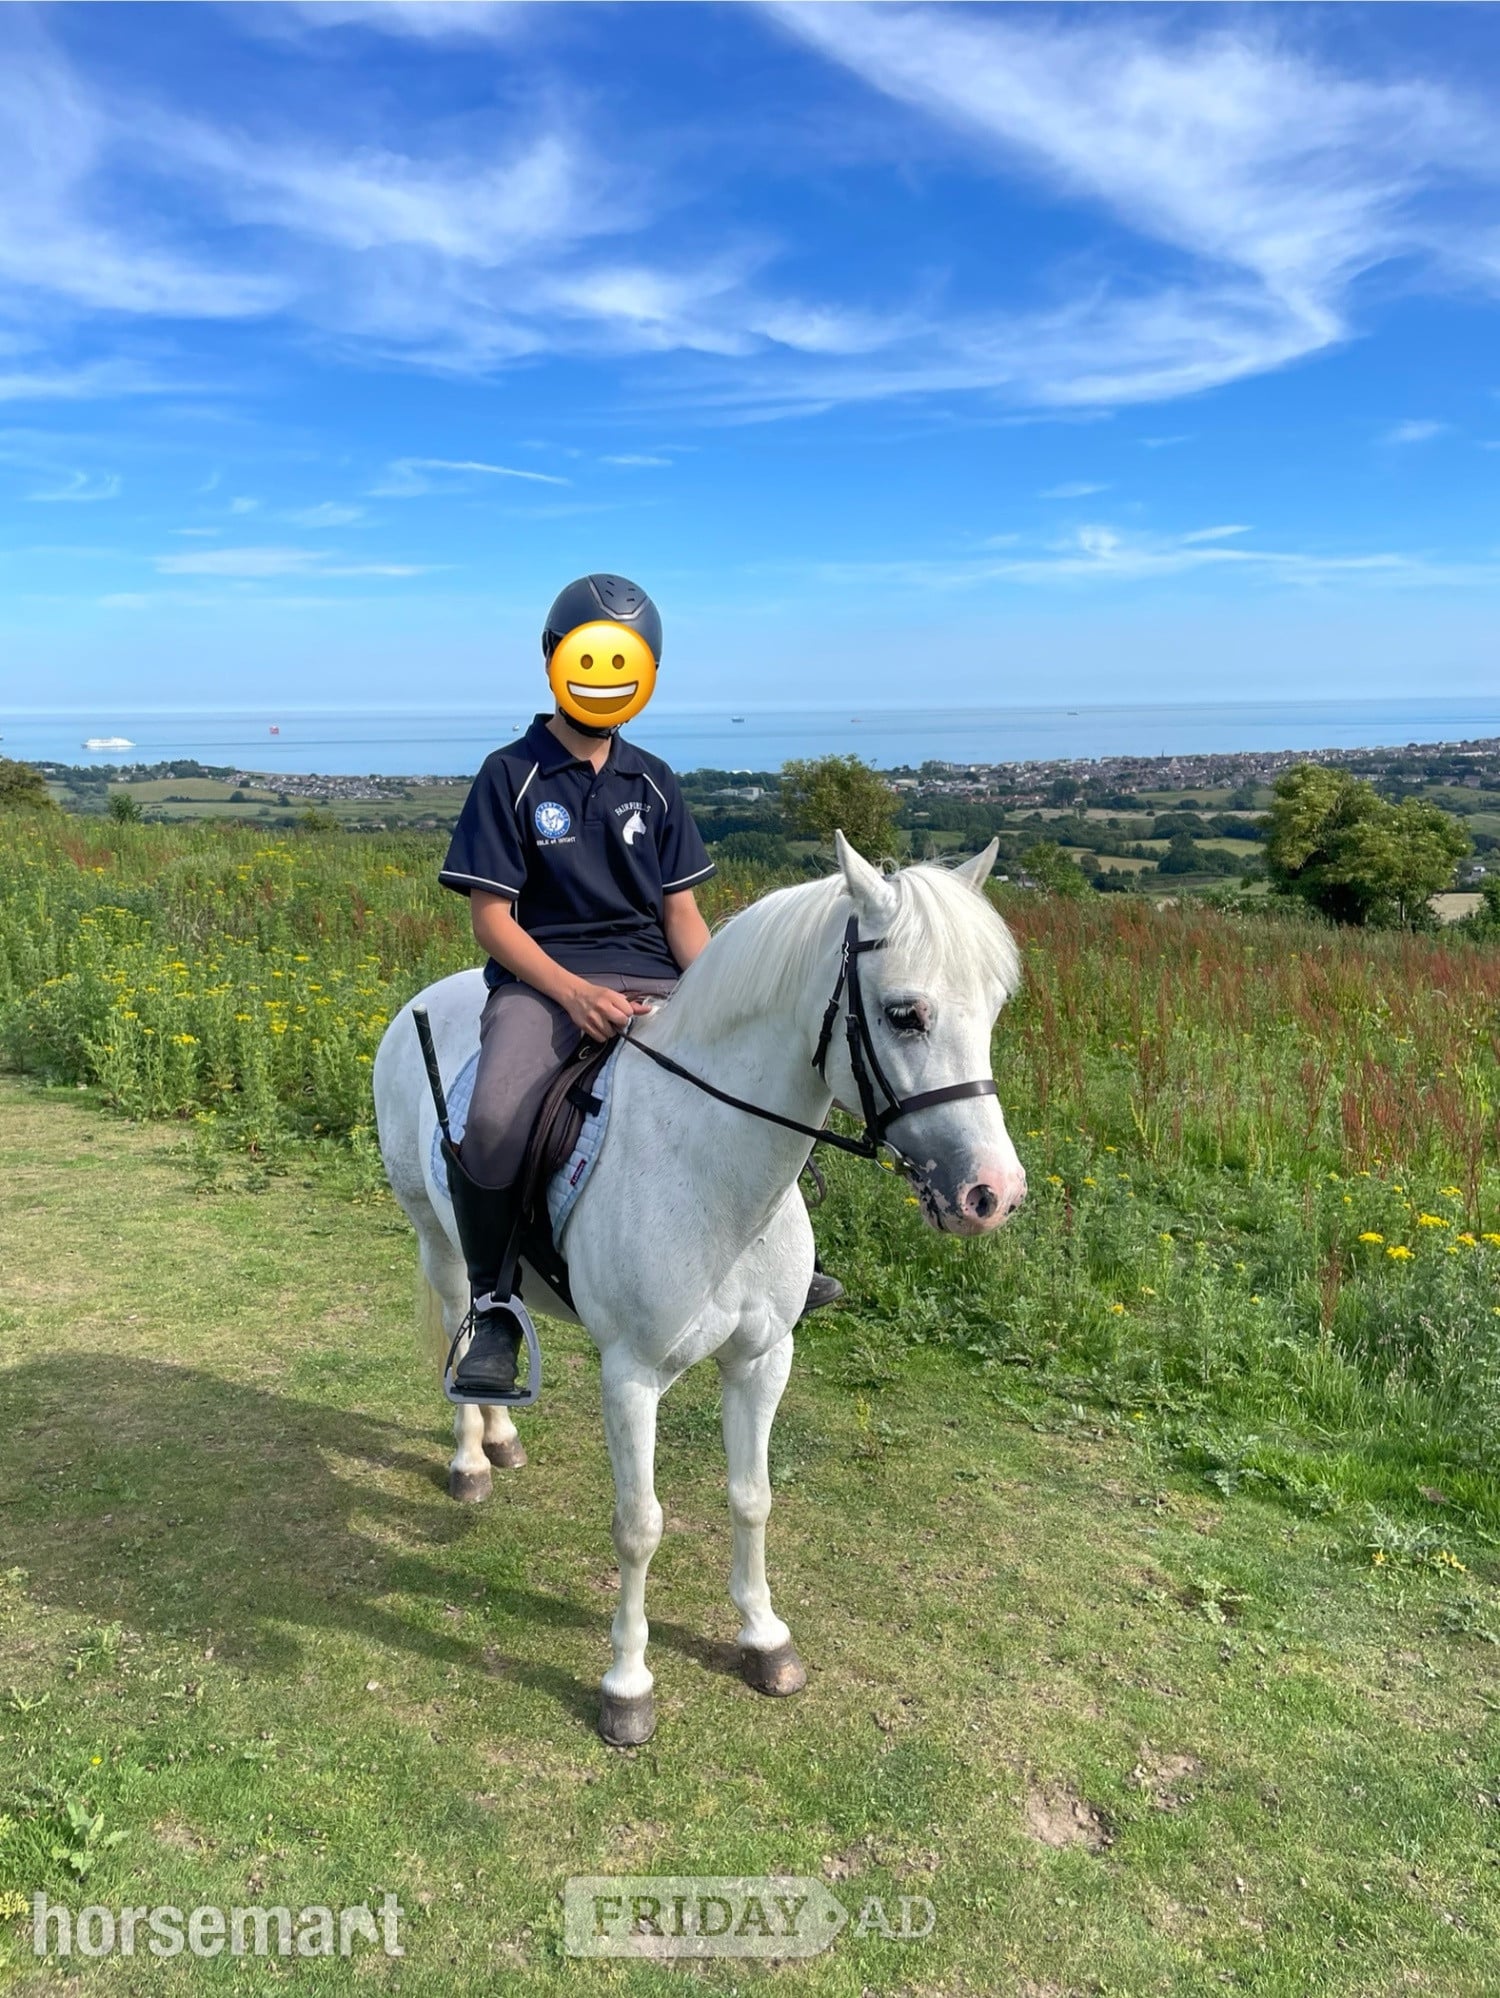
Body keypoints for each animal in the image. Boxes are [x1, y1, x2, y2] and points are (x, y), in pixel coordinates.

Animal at [372, 832, 1027, 1746]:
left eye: (994, 1007)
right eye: (905, 1013)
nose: (993, 1194)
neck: (710, 1163)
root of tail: (425, 1000)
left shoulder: (762, 1360)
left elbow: (752, 1498)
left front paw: (764, 1638)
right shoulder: (631, 1376)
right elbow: (639, 1526)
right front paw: (626, 1686)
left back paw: (501, 1434)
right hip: (437, 1241)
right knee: (462, 1313)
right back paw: (472, 1455)